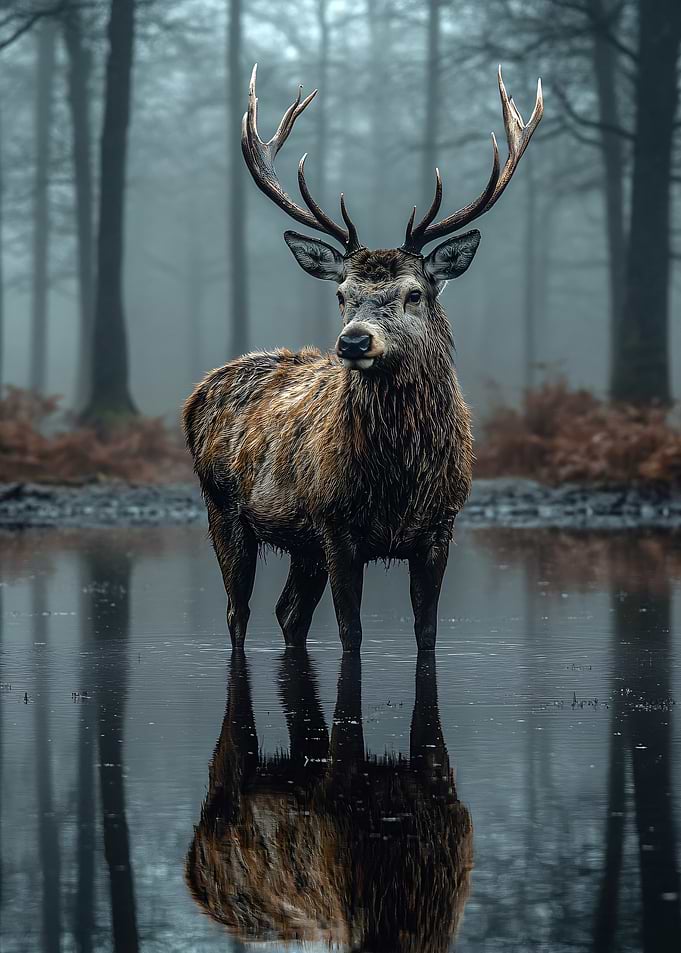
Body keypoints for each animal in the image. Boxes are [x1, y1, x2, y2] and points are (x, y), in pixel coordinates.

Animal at [183, 64, 543, 652]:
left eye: (414, 293)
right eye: (341, 294)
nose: (353, 343)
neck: (398, 483)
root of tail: (196, 395)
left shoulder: (440, 526)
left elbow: (427, 633)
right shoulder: (336, 525)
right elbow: (350, 633)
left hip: (299, 541)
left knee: (288, 613)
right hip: (224, 507)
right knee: (238, 613)